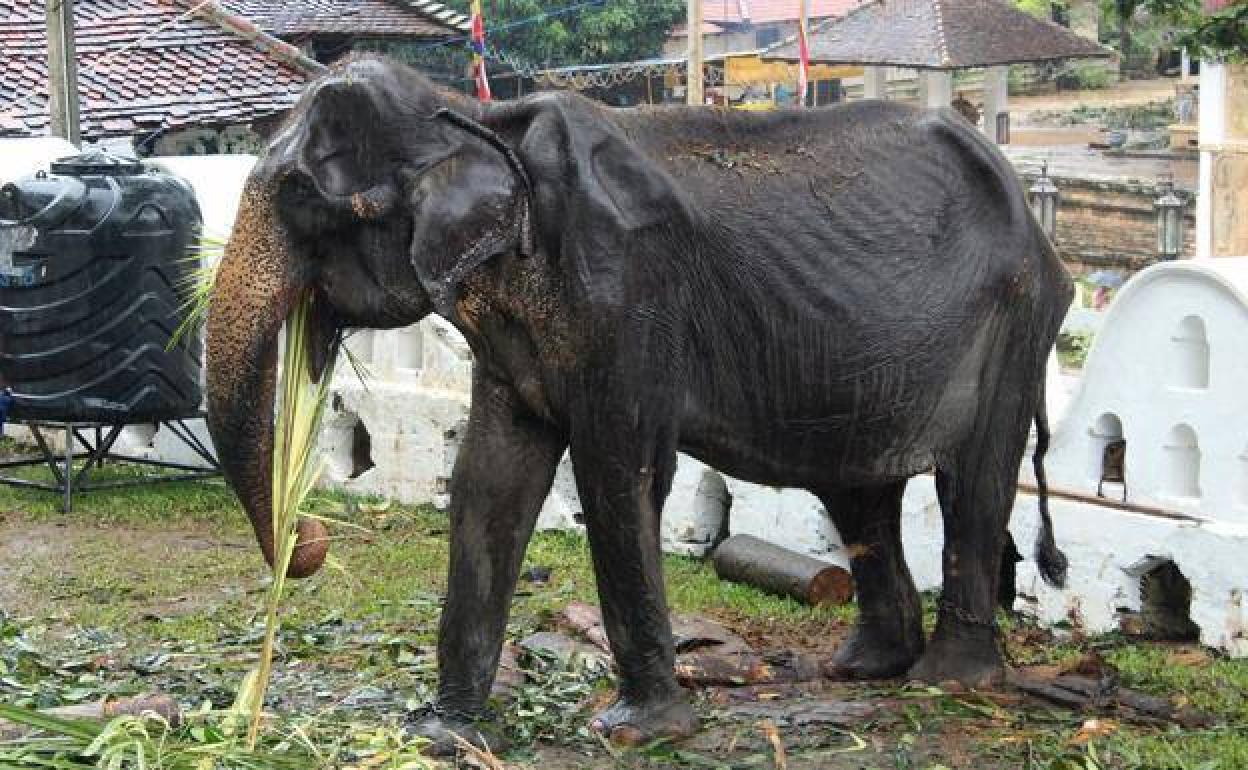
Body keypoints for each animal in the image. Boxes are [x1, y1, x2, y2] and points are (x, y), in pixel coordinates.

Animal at [204, 57, 1073, 753]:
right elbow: (489, 481)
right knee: (858, 492)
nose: (310, 537)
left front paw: (636, 731)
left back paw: (949, 682)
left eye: (301, 199)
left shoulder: (627, 295)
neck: (476, 120)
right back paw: (863, 670)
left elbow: (619, 478)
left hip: (1016, 321)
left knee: (972, 483)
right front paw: (442, 734)